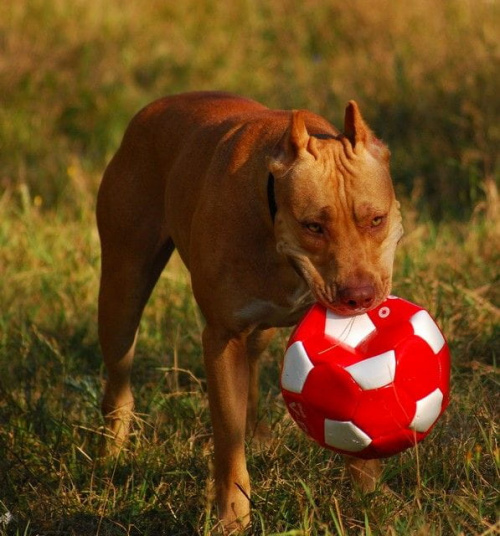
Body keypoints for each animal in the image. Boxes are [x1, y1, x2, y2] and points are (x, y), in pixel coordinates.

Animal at [95, 92, 404, 532]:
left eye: (376, 219)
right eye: (313, 226)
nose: (358, 296)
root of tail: (152, 109)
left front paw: (372, 500)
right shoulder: (223, 339)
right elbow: (227, 441)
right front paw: (231, 515)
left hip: (259, 332)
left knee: (254, 373)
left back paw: (259, 436)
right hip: (122, 293)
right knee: (119, 380)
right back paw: (111, 455)